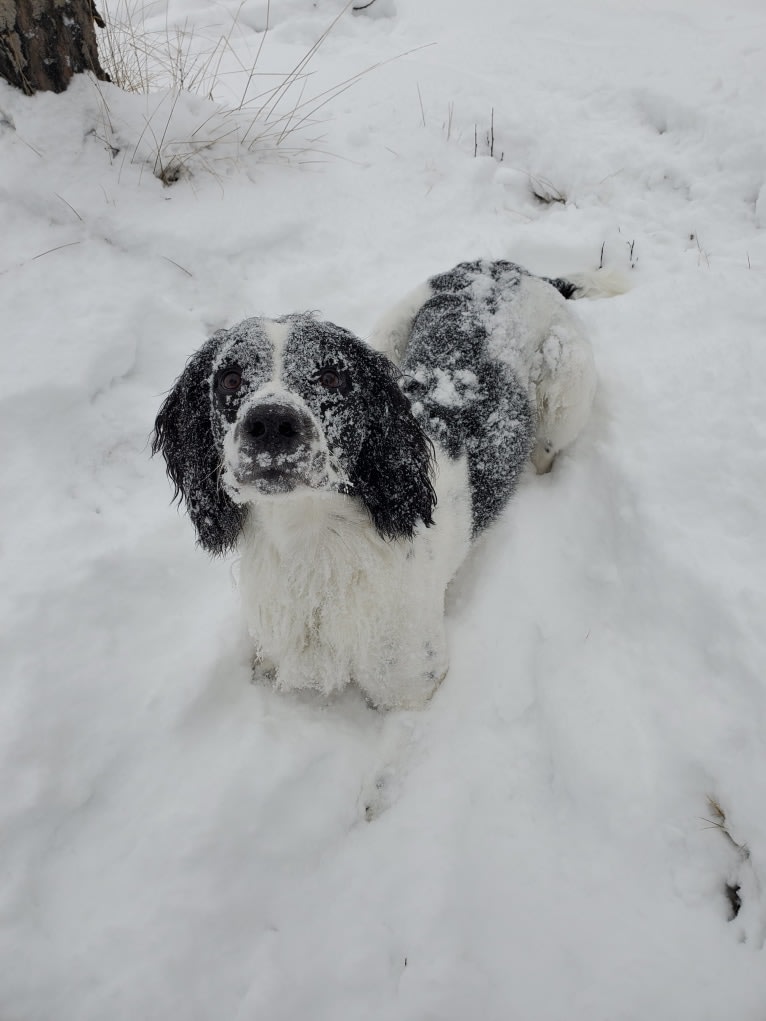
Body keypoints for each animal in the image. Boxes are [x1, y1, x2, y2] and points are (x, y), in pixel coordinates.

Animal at [153, 259, 612, 706]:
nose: (270, 423)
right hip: (390, 327)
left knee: (546, 449)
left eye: (331, 377)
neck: (313, 541)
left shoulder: (413, 684)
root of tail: (516, 268)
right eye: (229, 378)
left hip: (565, 390)